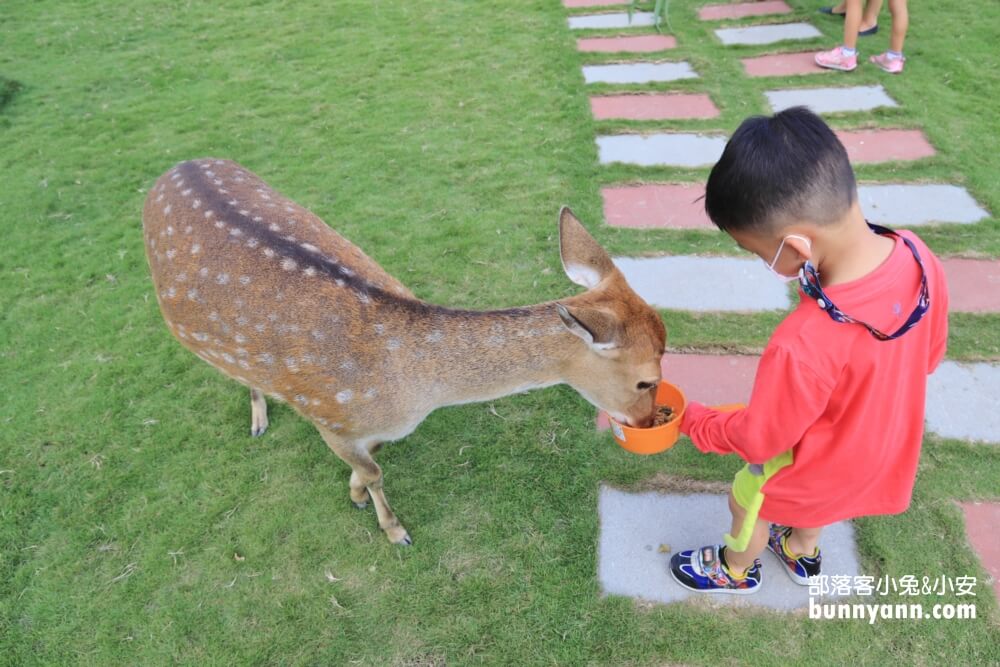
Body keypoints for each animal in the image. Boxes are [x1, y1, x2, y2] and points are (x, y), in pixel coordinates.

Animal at [141, 159, 668, 544]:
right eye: (646, 378)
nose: (649, 420)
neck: (414, 387)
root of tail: (177, 166)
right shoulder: (329, 417)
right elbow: (374, 471)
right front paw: (393, 529)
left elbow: (371, 460)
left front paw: (354, 493)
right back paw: (258, 420)